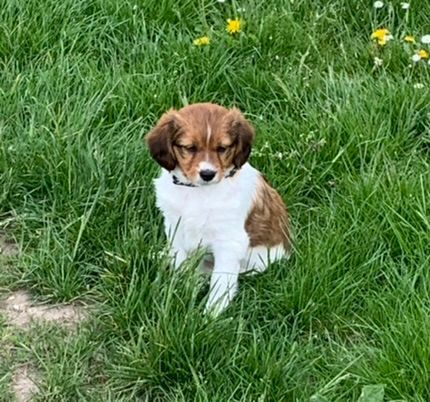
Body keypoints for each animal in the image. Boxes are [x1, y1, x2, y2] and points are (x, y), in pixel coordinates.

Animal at [146, 103, 292, 315]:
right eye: (190, 148)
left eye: (222, 148)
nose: (208, 174)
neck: (198, 192)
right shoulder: (175, 226)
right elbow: (180, 261)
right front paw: (179, 288)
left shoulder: (229, 241)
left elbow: (221, 282)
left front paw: (211, 314)